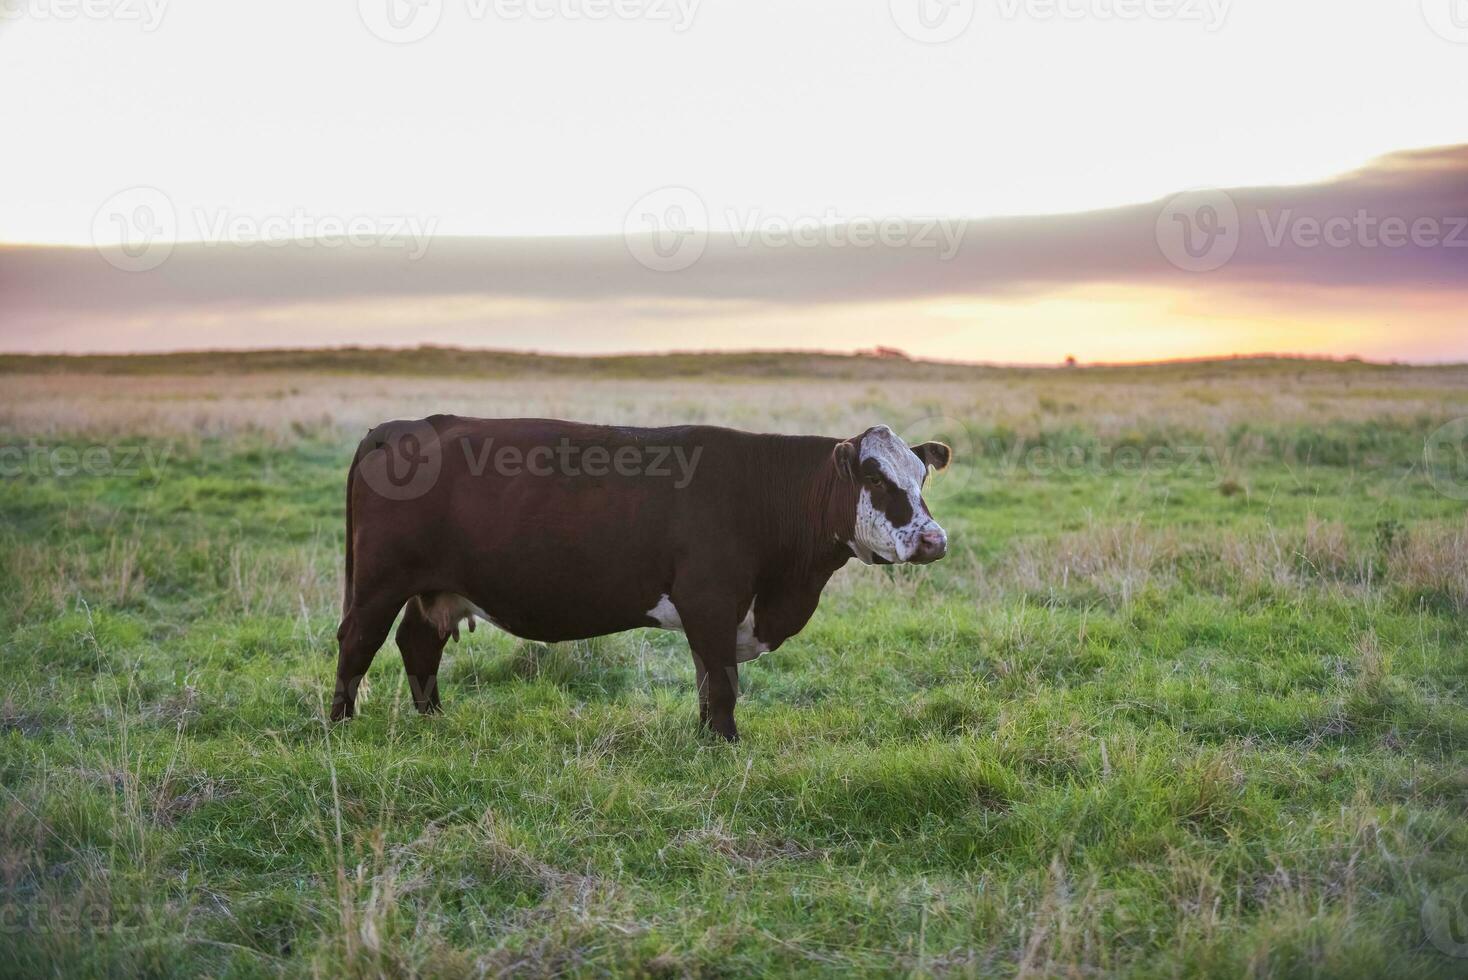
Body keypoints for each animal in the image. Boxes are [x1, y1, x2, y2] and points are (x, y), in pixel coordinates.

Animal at [331, 416, 951, 742]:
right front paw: (726, 744)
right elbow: (722, 683)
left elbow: (706, 680)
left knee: (418, 642)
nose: (933, 540)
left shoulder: (713, 615)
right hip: (380, 583)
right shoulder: (711, 601)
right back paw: (340, 726)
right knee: (358, 642)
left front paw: (706, 738)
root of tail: (400, 427)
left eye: (921, 477)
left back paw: (434, 719)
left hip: (434, 588)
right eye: (875, 477)